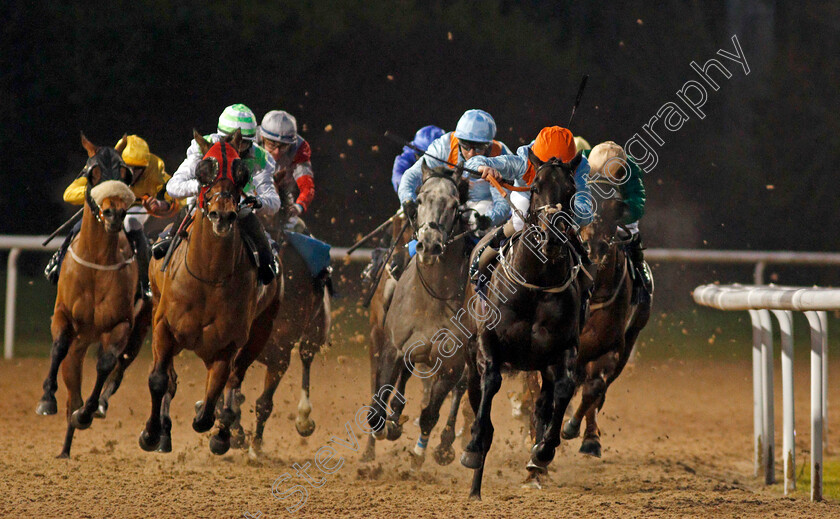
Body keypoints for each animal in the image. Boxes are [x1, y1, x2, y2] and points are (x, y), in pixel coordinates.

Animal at [36, 135, 153, 460]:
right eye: (91, 172)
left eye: (124, 173)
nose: (113, 213)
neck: (97, 263)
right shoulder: (63, 315)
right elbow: (58, 347)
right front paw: (46, 399)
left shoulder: (120, 325)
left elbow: (105, 365)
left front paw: (89, 412)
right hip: (80, 344)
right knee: (71, 392)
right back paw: (64, 449)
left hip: (138, 330)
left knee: (118, 368)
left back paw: (94, 408)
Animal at [139, 130, 282, 456]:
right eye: (204, 169)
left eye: (241, 173)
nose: (222, 215)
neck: (209, 276)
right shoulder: (164, 326)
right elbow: (158, 380)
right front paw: (151, 434)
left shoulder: (227, 343)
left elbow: (216, 394)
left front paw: (218, 430)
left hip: (260, 331)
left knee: (235, 378)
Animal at [366, 162, 472, 472]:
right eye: (421, 200)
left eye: (454, 205)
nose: (430, 244)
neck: (432, 297)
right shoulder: (392, 348)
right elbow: (378, 402)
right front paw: (385, 425)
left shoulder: (450, 364)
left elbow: (430, 414)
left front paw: (420, 453)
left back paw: (444, 445)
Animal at [460, 153, 584, 500]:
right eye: (536, 187)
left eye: (571, 190)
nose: (553, 236)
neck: (536, 285)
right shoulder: (487, 342)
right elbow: (491, 382)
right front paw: (473, 445)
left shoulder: (564, 347)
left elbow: (565, 388)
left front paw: (543, 451)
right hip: (470, 359)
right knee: (477, 396)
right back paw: (474, 484)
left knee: (544, 401)